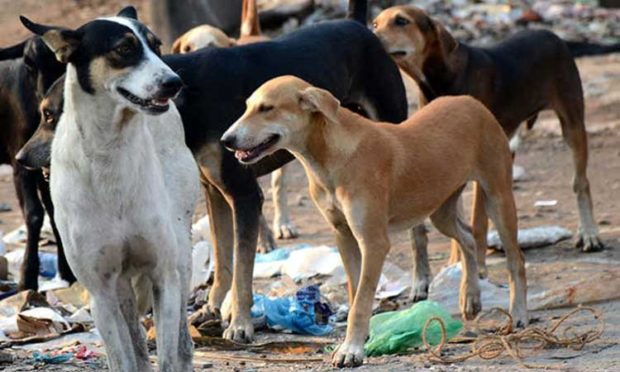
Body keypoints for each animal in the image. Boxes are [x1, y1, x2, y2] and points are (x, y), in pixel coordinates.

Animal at [0, 37, 72, 290]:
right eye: (28, 63)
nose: (47, 102)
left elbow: (54, 212)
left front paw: (67, 273)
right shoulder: (20, 162)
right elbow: (34, 214)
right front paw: (27, 278)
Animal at [21, 6, 199, 372]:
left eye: (157, 46)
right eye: (124, 49)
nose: (174, 83)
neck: (110, 151)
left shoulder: (163, 275)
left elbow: (168, 355)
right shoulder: (101, 292)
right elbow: (124, 357)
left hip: (180, 253)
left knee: (181, 342)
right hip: (120, 287)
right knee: (136, 342)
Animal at [220, 75, 524, 366]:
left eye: (266, 108)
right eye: (247, 107)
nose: (226, 140)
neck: (329, 157)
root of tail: (471, 102)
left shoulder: (374, 242)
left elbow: (362, 300)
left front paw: (351, 350)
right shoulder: (343, 235)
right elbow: (356, 292)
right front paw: (359, 338)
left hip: (498, 197)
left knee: (515, 260)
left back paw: (518, 314)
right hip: (440, 210)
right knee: (468, 238)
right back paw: (471, 297)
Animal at [372, 5, 600, 298]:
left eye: (401, 21)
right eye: (375, 23)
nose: (370, 34)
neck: (439, 79)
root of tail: (551, 33)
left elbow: (477, 222)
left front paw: (477, 269)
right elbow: (459, 225)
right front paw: (455, 264)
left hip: (571, 122)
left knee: (580, 182)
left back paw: (590, 234)